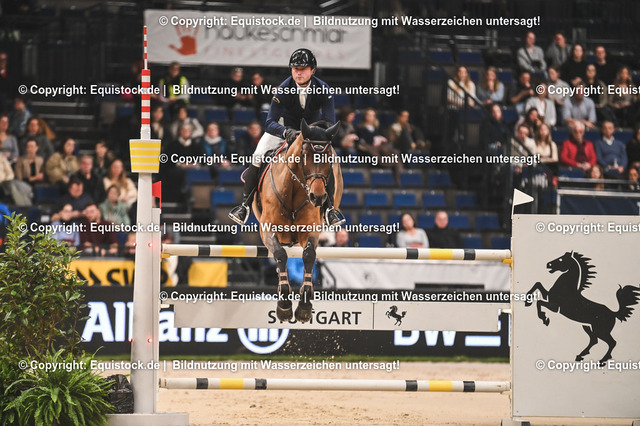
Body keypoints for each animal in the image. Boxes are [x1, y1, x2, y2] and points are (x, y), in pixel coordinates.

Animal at [253, 119, 342, 323]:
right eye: (305, 155)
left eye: (328, 157)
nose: (318, 197)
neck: (293, 188)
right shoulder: (267, 229)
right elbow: (280, 254)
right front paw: (284, 305)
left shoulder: (311, 231)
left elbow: (309, 256)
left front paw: (304, 306)